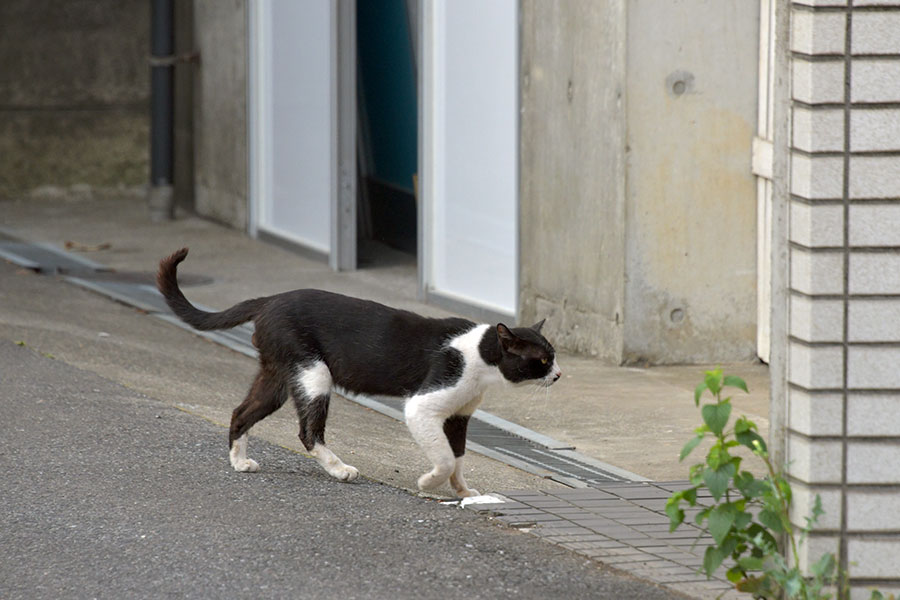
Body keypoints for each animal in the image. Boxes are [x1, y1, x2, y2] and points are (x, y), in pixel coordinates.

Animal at [158, 247, 560, 496]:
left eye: (553, 357)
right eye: (542, 360)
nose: (557, 375)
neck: (480, 357)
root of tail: (269, 300)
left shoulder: (458, 415)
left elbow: (458, 456)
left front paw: (463, 492)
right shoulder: (423, 406)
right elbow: (445, 458)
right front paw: (428, 483)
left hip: (276, 375)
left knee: (241, 412)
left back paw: (240, 462)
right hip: (313, 372)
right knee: (307, 432)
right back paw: (340, 470)